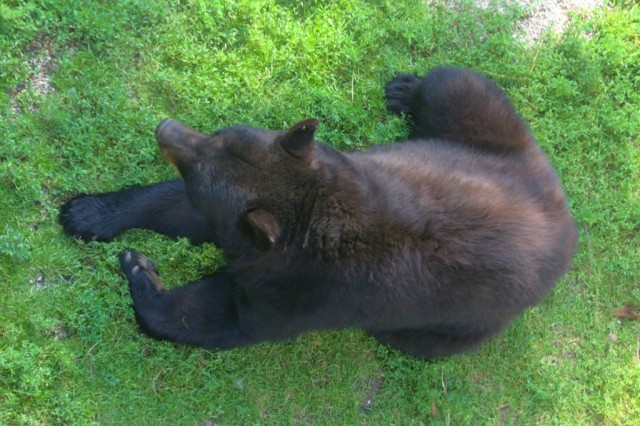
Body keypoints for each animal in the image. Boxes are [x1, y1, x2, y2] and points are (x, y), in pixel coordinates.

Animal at [61, 67, 580, 360]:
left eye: (197, 165)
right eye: (218, 135)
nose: (166, 127)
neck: (317, 213)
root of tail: (569, 224)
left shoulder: (301, 292)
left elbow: (223, 317)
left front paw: (141, 273)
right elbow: (179, 211)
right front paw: (87, 212)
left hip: (456, 325)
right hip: (488, 139)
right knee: (455, 82)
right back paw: (404, 88)